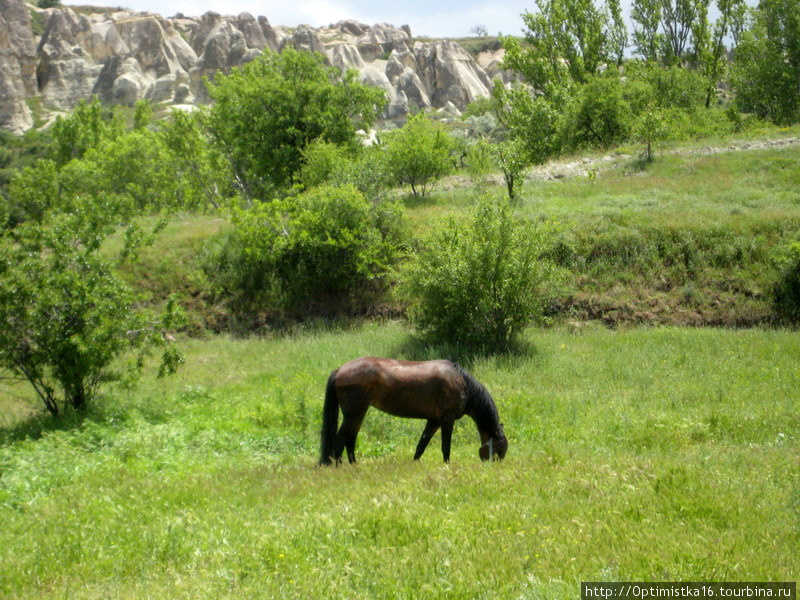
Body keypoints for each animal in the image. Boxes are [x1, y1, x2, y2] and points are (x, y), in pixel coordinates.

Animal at [318, 358, 506, 466]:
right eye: (501, 448)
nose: (496, 466)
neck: (462, 382)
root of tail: (340, 370)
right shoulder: (448, 419)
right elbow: (446, 446)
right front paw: (447, 464)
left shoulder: (434, 420)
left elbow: (422, 443)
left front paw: (414, 462)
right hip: (354, 414)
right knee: (340, 439)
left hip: (358, 413)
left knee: (350, 438)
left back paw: (353, 464)